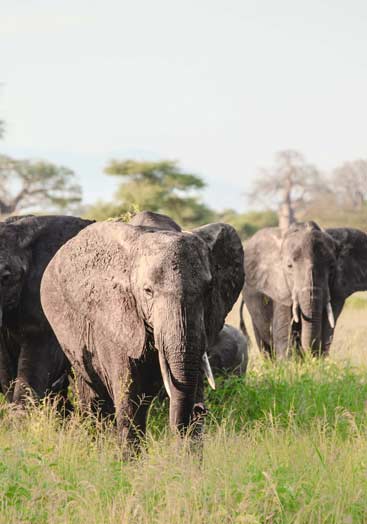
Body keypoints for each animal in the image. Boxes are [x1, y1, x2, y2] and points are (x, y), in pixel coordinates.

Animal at [40, 211, 244, 444]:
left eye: (208, 290)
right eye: (147, 291)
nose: (200, 409)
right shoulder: (114, 318)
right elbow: (129, 400)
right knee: (94, 400)